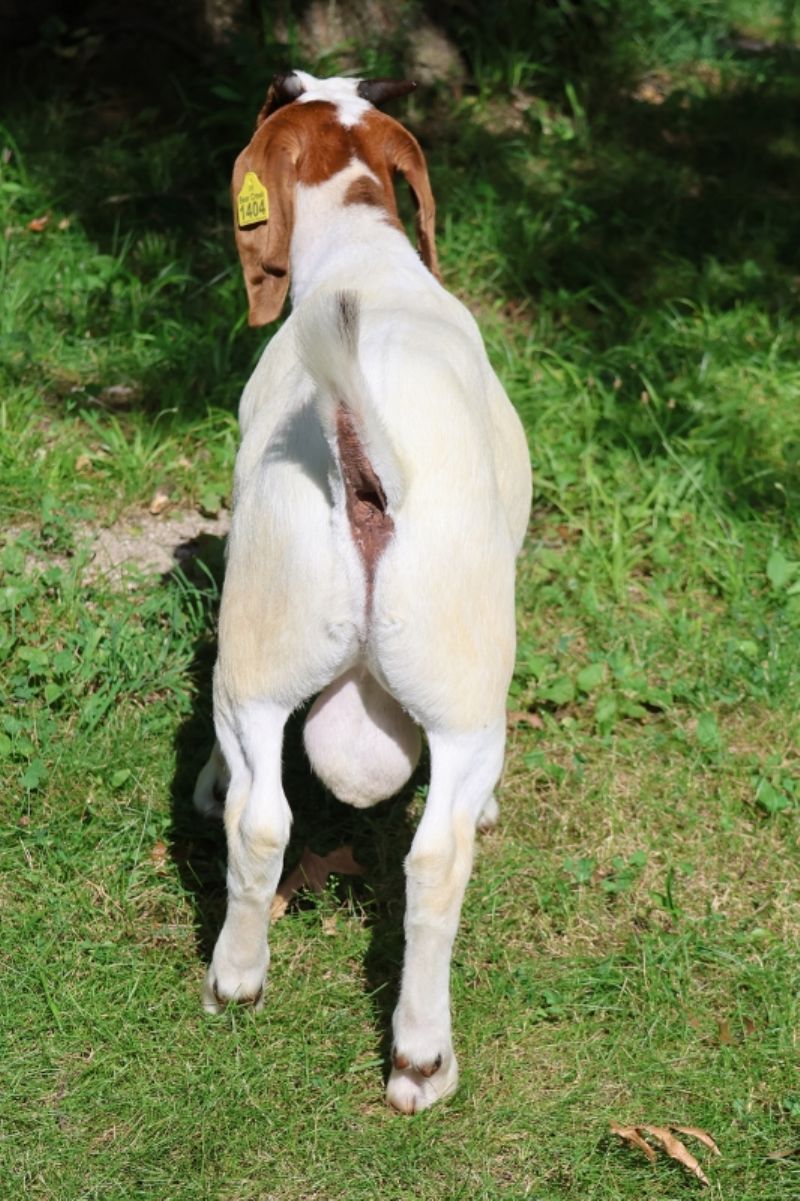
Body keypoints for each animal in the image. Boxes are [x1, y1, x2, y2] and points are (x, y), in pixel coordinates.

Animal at [193, 70, 532, 1113]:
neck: (364, 251)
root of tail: (359, 446)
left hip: (260, 648)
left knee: (261, 819)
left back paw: (236, 979)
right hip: (464, 691)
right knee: (434, 858)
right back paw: (421, 1054)